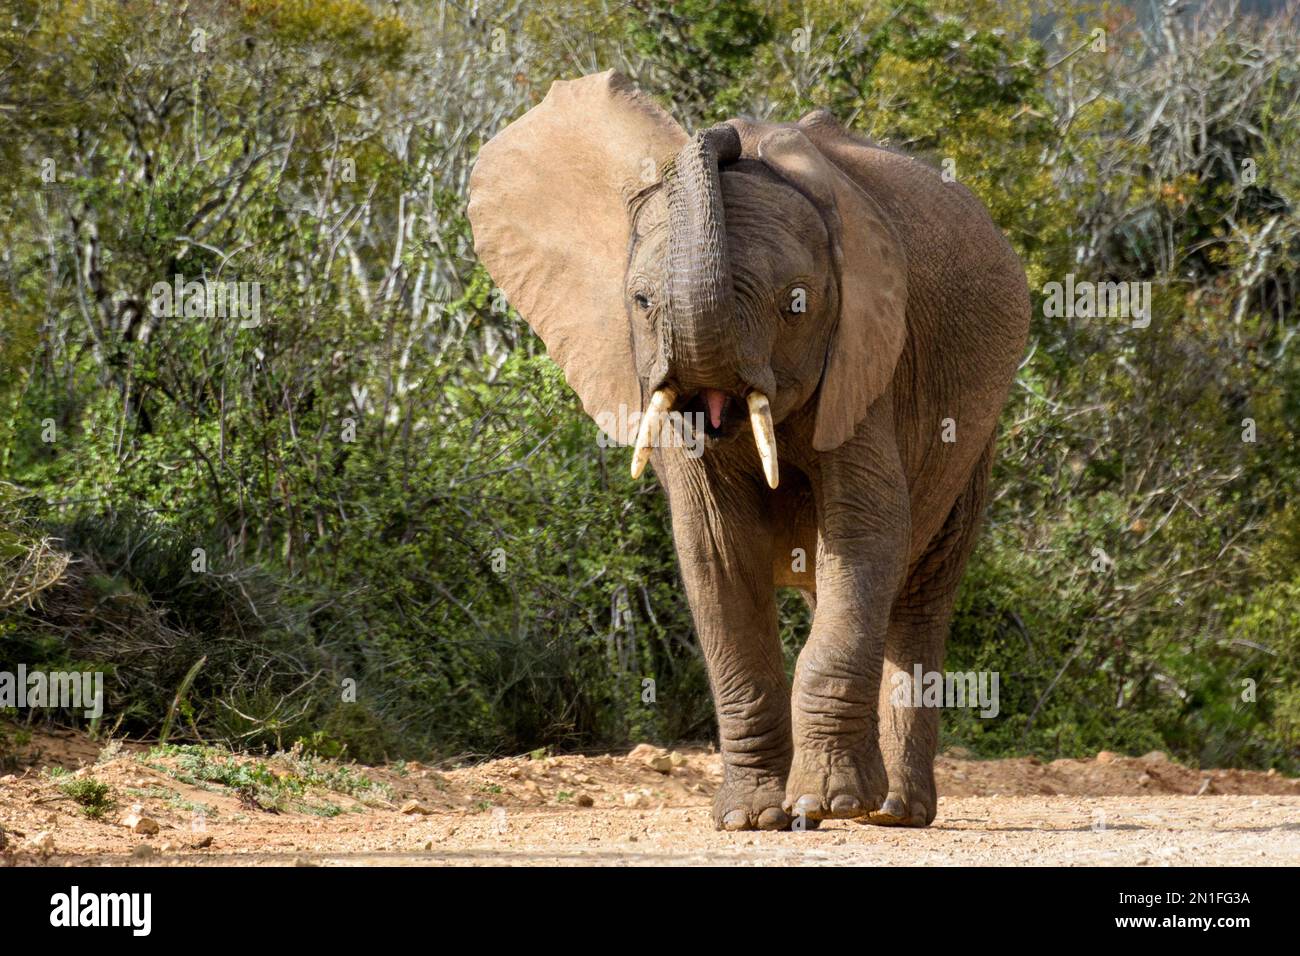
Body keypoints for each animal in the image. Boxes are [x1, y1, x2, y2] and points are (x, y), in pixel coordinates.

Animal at [467, 70, 1024, 832]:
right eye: (641, 301)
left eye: (796, 304)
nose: (728, 137)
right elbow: (715, 549)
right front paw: (750, 819)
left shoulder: (868, 362)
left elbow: (866, 530)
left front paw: (826, 805)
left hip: (975, 434)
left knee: (920, 591)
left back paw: (893, 813)